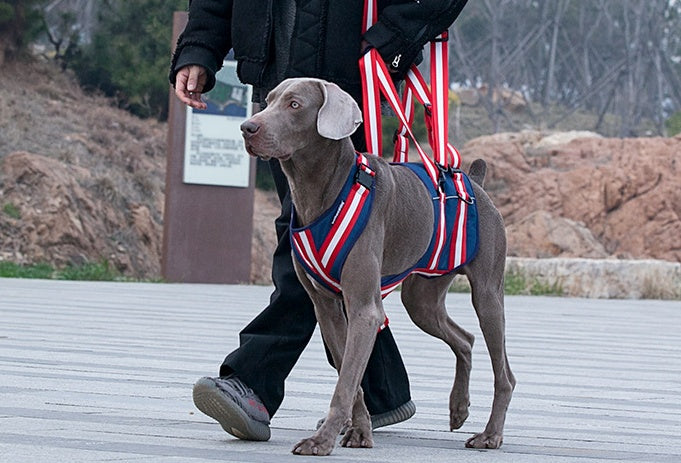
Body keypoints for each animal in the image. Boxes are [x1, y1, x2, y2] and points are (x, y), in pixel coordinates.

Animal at [242, 78, 512, 454]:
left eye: (295, 104)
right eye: (267, 101)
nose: (247, 128)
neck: (322, 193)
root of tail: (475, 182)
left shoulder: (364, 308)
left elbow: (345, 382)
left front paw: (321, 440)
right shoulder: (327, 307)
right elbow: (350, 377)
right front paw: (358, 432)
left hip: (488, 293)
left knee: (504, 372)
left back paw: (490, 434)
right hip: (422, 298)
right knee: (465, 339)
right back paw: (458, 408)